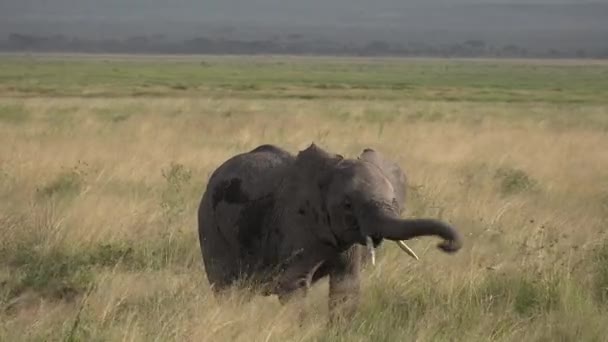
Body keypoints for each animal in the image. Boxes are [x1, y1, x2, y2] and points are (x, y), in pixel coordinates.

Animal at [197, 143, 464, 322]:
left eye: (394, 201)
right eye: (347, 205)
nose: (445, 246)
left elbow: (346, 287)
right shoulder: (294, 223)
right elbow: (293, 286)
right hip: (209, 226)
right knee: (227, 289)